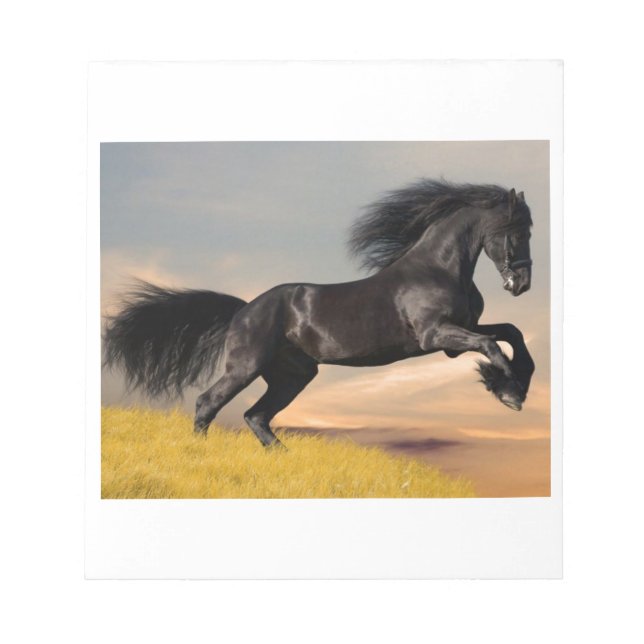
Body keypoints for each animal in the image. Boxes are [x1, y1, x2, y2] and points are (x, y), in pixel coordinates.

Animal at [103, 179, 535, 448]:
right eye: (517, 230)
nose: (522, 284)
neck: (438, 268)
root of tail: (244, 309)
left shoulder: (458, 334)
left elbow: (511, 333)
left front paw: (515, 384)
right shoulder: (436, 336)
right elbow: (491, 345)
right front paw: (508, 392)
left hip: (293, 375)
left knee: (256, 416)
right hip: (246, 366)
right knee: (208, 403)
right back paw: (201, 452)